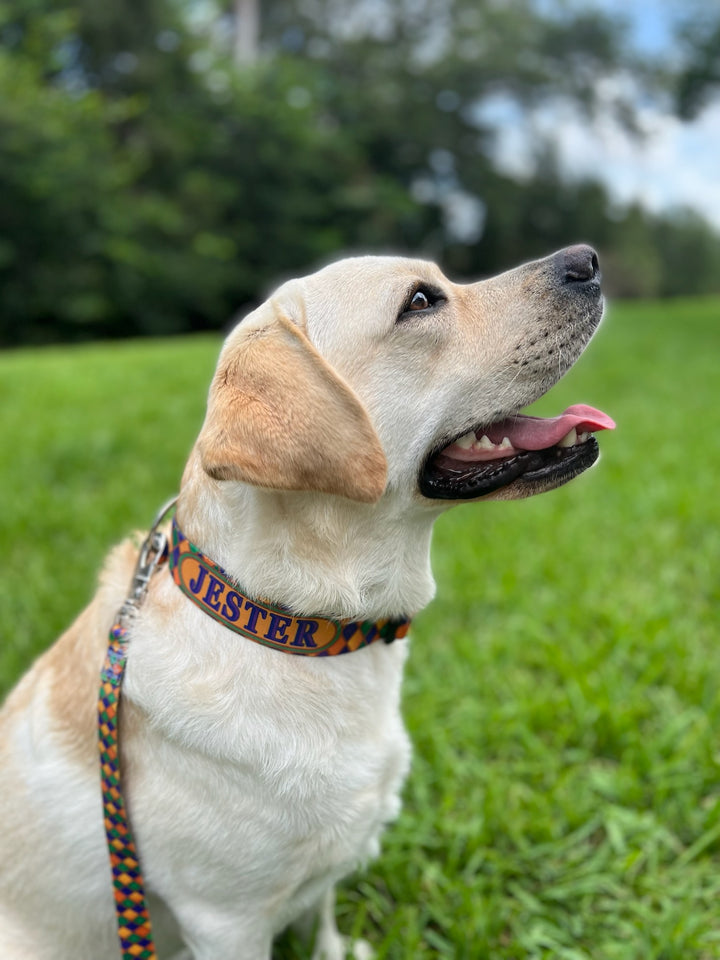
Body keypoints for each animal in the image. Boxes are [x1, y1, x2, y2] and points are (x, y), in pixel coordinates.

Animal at [0, 244, 612, 956]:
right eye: (420, 301)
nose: (587, 258)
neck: (303, 626)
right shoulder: (225, 922)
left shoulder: (320, 872)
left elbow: (320, 913)